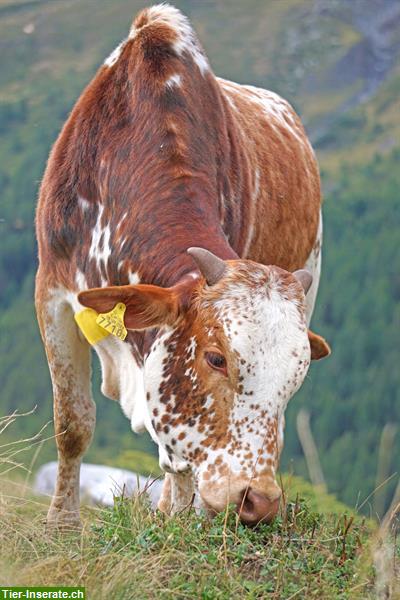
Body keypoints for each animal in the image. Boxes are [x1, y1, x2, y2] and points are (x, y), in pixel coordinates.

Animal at [36, 5, 330, 528]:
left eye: (296, 377)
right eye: (216, 358)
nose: (259, 500)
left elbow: (180, 464)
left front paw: (174, 523)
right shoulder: (51, 294)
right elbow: (73, 422)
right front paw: (61, 525)